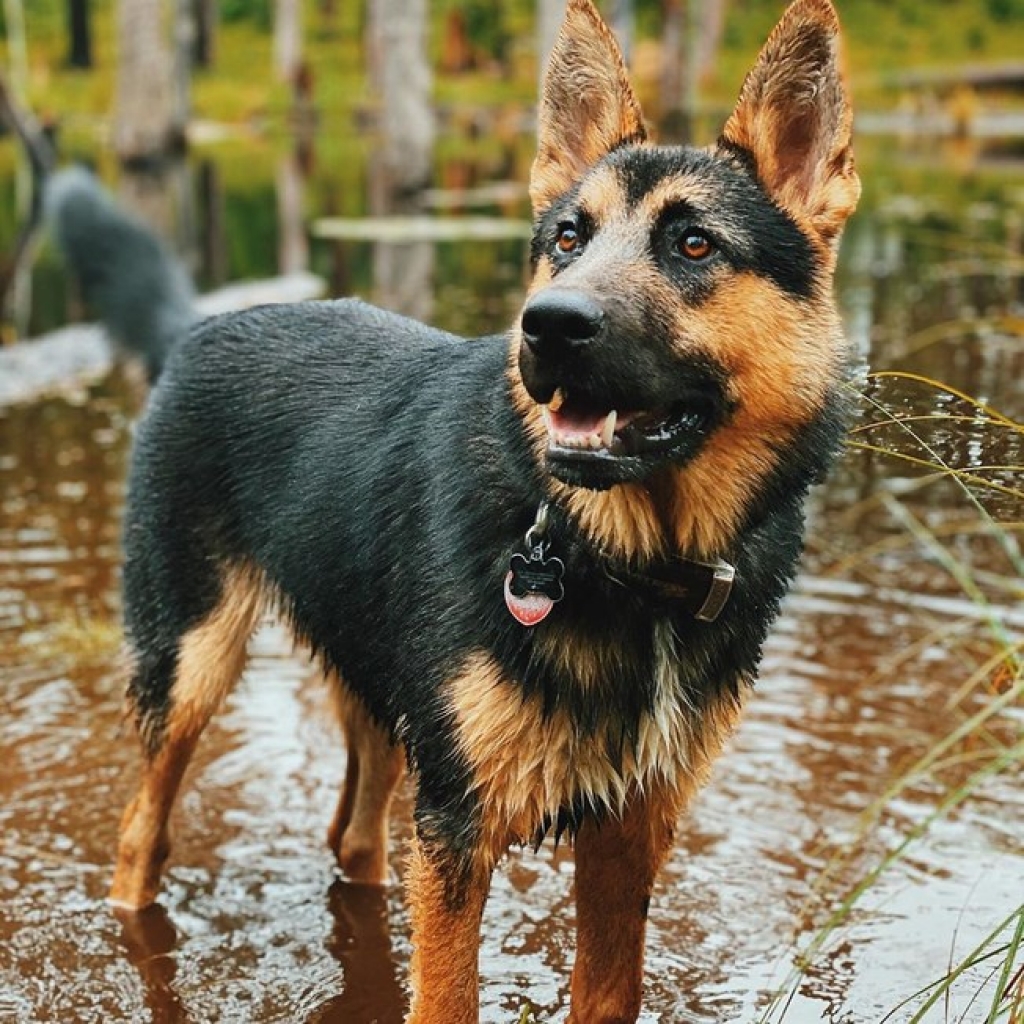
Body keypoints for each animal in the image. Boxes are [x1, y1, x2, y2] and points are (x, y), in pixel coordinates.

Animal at [58, 0, 856, 1015]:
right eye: (567, 238)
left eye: (694, 245)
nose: (547, 326)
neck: (622, 559)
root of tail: (197, 325)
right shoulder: (458, 824)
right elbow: (445, 996)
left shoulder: (626, 834)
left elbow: (606, 990)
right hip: (191, 666)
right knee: (141, 834)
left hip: (383, 698)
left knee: (353, 839)